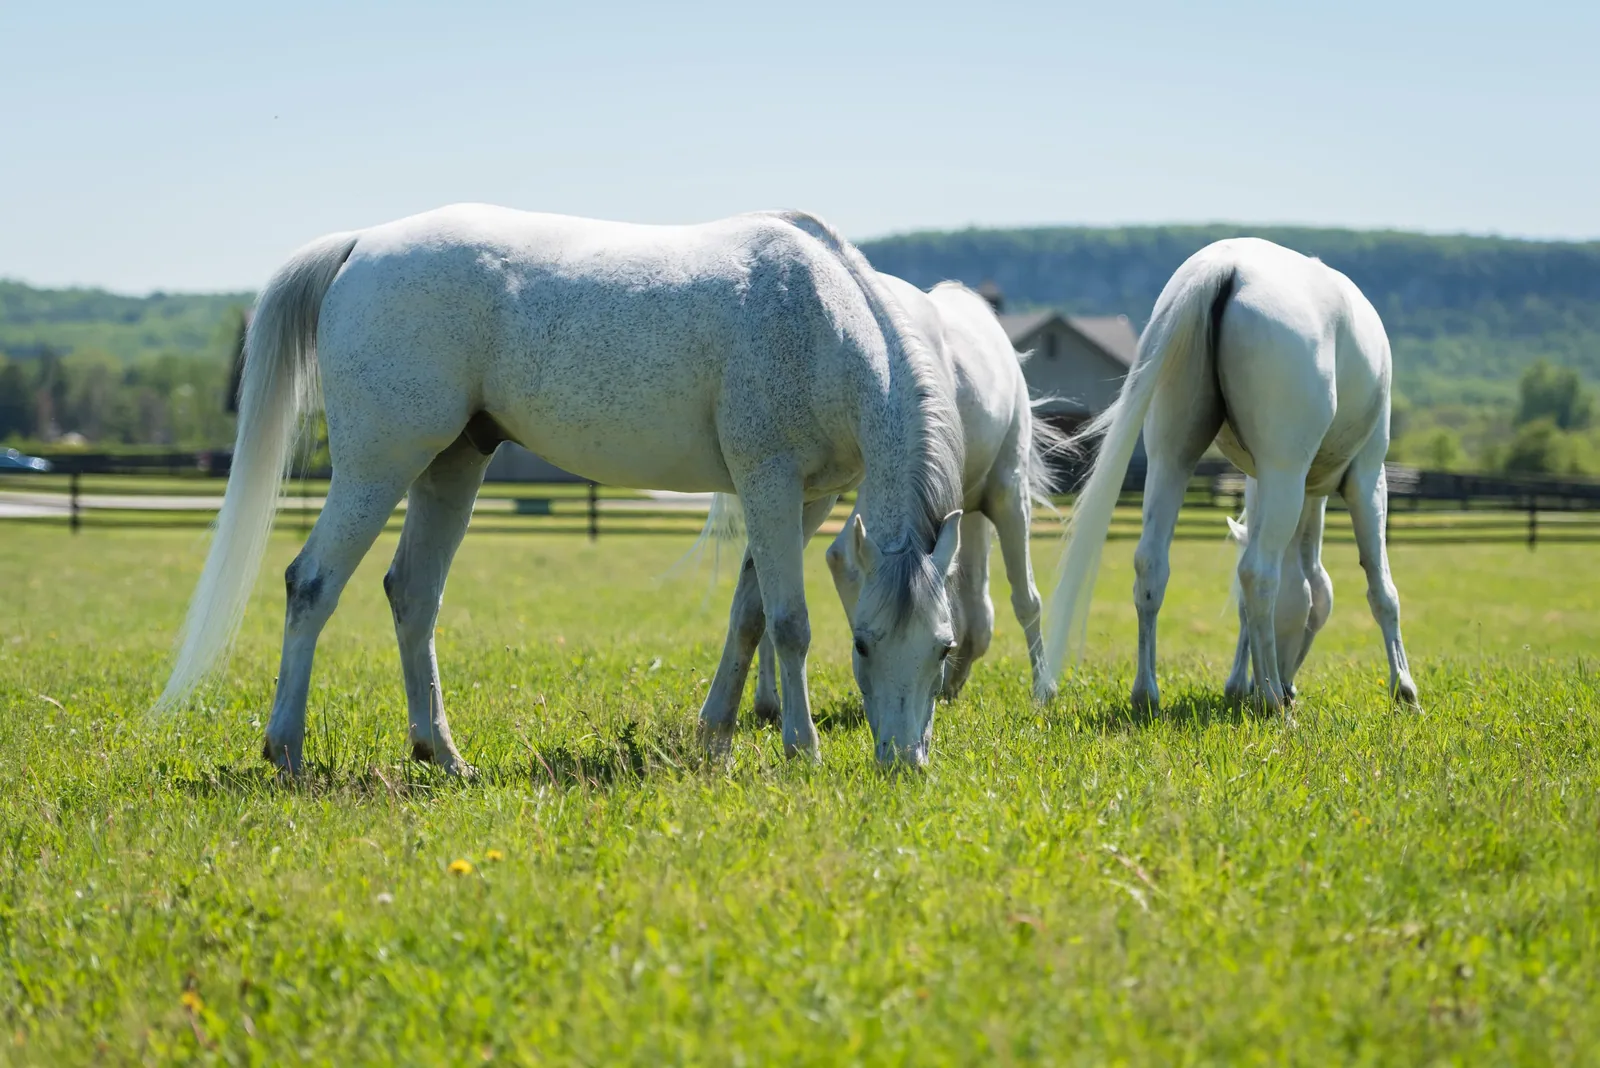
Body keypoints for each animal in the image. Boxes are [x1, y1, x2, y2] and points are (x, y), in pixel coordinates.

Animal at [156, 203, 967, 771]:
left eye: (945, 649)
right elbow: (791, 623)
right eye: (862, 644)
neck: (824, 317)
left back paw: (443, 755)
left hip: (452, 468)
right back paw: (286, 749)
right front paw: (802, 750)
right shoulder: (768, 481)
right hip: (377, 466)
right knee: (311, 584)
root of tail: (362, 244)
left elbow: (749, 615)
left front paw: (716, 736)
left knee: (412, 595)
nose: (904, 762)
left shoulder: (807, 498)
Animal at [1041, 237, 1418, 711]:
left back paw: (1150, 693)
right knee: (1259, 573)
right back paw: (1273, 699)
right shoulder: (1366, 479)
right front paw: (1404, 688)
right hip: (1286, 474)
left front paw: (1239, 683)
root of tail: (1226, 267)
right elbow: (1380, 586)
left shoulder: (1257, 483)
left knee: (1152, 564)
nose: (1289, 686)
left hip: (1172, 459)